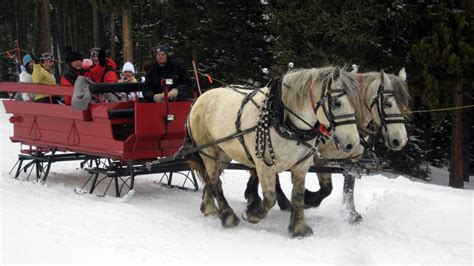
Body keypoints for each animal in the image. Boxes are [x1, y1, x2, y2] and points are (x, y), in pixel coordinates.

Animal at [185, 67, 360, 237]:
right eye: (336, 103)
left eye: (356, 103)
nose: (352, 144)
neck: (283, 119)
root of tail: (199, 99)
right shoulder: (264, 165)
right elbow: (270, 198)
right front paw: (252, 215)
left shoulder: (301, 165)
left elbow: (298, 195)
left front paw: (299, 228)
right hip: (208, 150)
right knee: (215, 182)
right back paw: (228, 216)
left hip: (223, 154)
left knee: (210, 179)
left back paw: (209, 209)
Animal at [244, 68, 412, 222]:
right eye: (388, 103)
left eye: (405, 106)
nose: (400, 140)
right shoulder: (319, 157)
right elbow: (326, 188)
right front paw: (309, 200)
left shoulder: (352, 160)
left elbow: (349, 185)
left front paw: (351, 214)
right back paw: (276, 201)